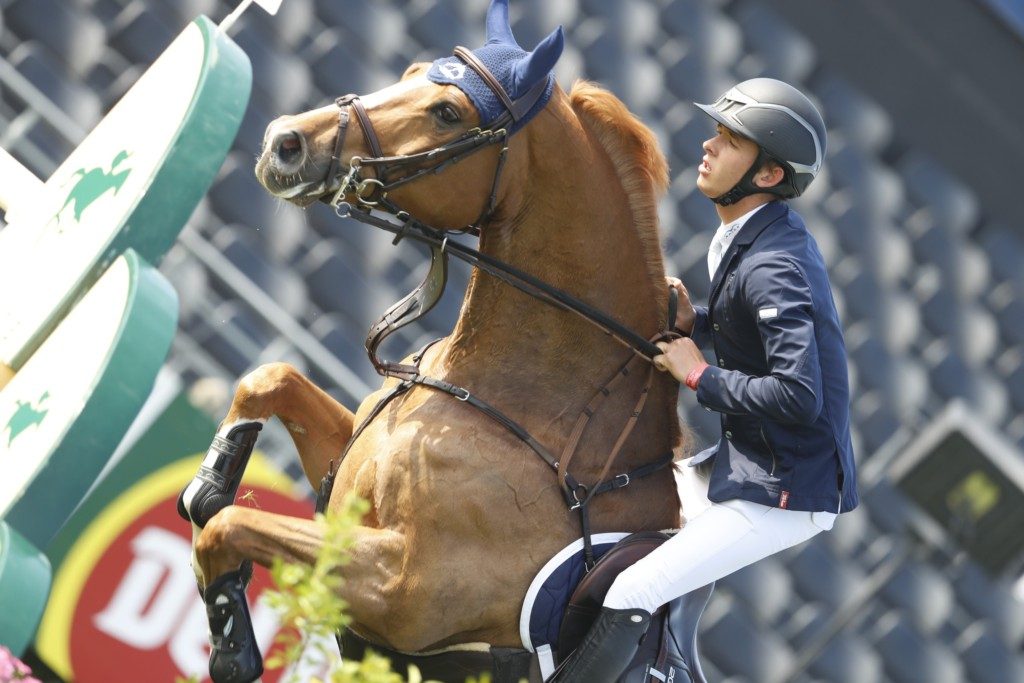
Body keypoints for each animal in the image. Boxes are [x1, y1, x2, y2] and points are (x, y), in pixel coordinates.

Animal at [188, 1, 692, 679]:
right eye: (409, 72)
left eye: (449, 113)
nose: (283, 142)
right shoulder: (342, 480)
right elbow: (270, 379)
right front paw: (210, 482)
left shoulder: (398, 588)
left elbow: (232, 527)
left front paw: (233, 645)